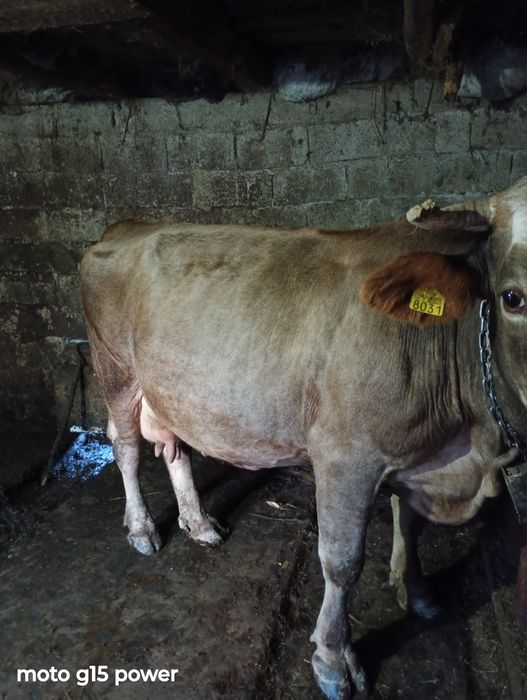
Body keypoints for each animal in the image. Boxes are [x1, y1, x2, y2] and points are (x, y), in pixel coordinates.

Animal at [80, 176, 527, 700]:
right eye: (513, 298)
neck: (467, 453)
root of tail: (129, 225)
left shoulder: (415, 453)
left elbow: (410, 523)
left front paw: (415, 591)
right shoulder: (346, 456)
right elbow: (342, 562)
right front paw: (334, 660)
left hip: (175, 389)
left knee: (176, 448)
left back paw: (198, 521)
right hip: (114, 367)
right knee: (126, 447)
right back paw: (142, 529)